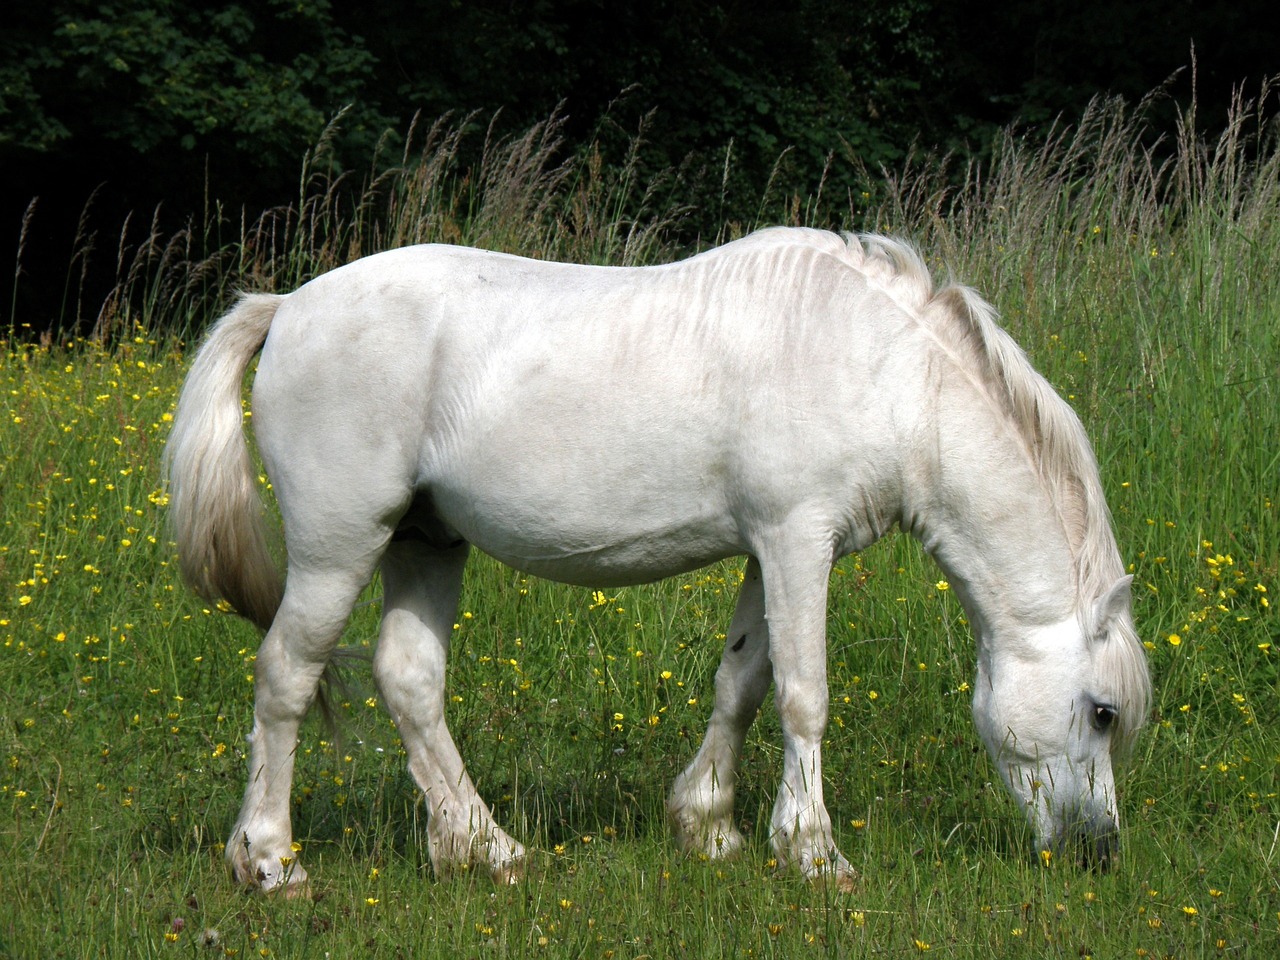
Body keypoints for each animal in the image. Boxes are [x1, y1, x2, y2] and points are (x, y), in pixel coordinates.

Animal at [165, 225, 1157, 896]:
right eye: (1102, 711)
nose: (1099, 851)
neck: (884, 373)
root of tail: (288, 307)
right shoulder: (798, 539)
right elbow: (805, 693)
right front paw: (814, 852)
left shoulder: (768, 549)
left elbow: (743, 683)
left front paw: (708, 827)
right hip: (338, 548)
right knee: (286, 676)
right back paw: (269, 861)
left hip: (424, 540)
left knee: (409, 681)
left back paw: (486, 848)